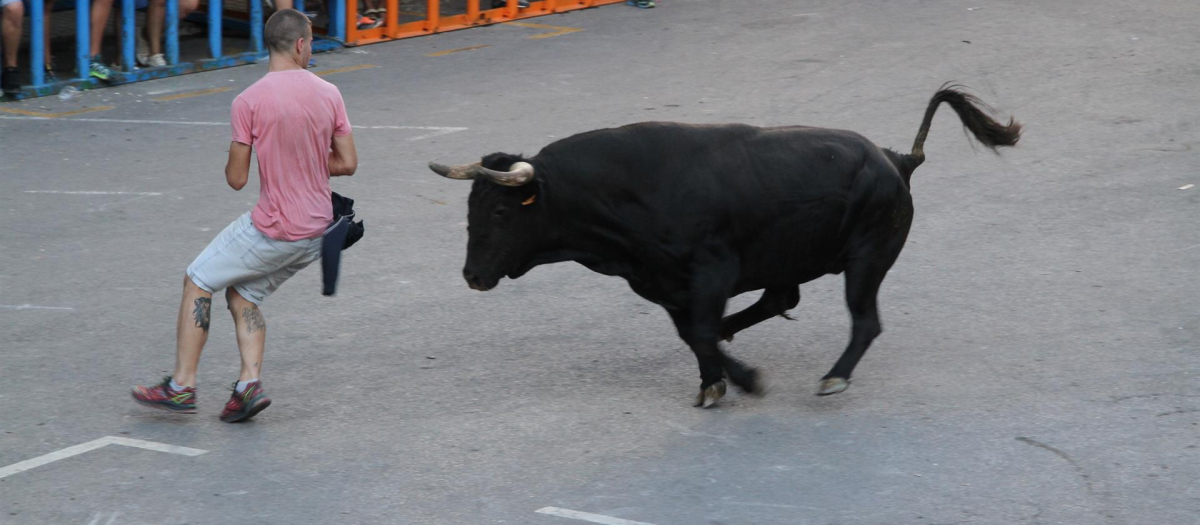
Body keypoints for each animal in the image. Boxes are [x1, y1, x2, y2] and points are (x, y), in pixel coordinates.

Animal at [427, 86, 1017, 407]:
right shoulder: (664, 283)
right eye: (471, 208)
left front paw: (742, 379)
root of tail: (895, 159)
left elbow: (702, 331)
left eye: (500, 211)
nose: (472, 276)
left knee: (864, 322)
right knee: (779, 300)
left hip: (866, 260)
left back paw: (834, 377)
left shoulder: (711, 271)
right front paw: (716, 381)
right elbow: (695, 333)